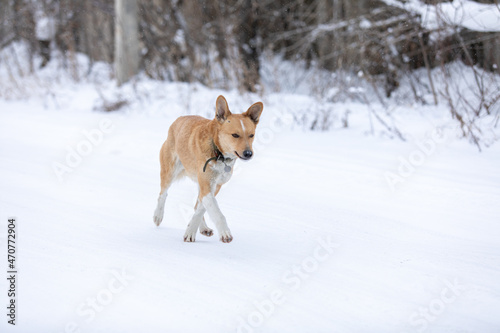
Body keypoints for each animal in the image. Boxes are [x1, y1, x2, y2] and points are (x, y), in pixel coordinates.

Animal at [153, 94, 264, 243]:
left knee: (196, 204)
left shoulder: (215, 186)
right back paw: (158, 215)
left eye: (251, 135)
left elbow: (200, 209)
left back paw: (203, 228)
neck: (219, 154)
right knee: (163, 194)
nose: (248, 153)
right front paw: (225, 233)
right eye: (235, 135)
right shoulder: (206, 185)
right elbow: (216, 212)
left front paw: (191, 230)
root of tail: (178, 120)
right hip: (169, 171)